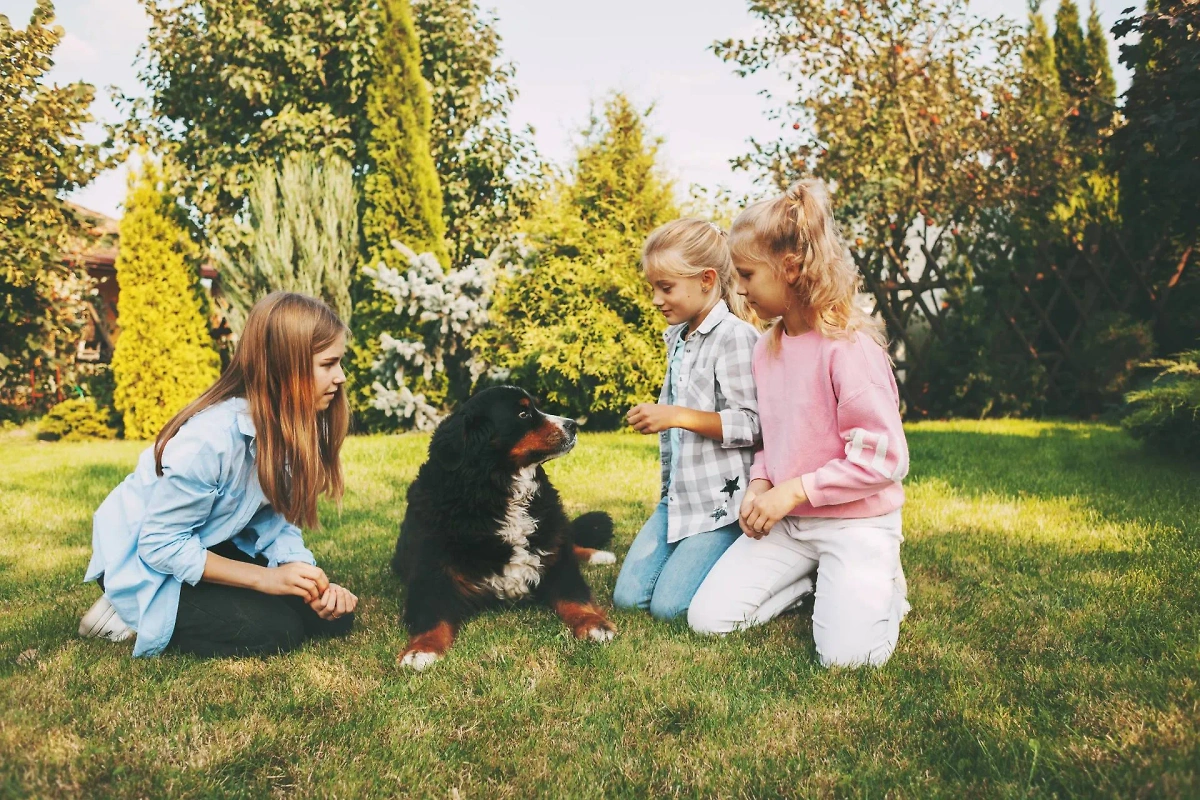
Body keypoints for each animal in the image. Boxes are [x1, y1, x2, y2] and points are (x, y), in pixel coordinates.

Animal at [393, 386, 619, 671]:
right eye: (523, 414)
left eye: (536, 407)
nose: (573, 425)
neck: (496, 489)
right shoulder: (431, 573)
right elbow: (431, 616)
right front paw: (421, 650)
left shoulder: (556, 563)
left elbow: (574, 597)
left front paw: (594, 624)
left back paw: (599, 555)